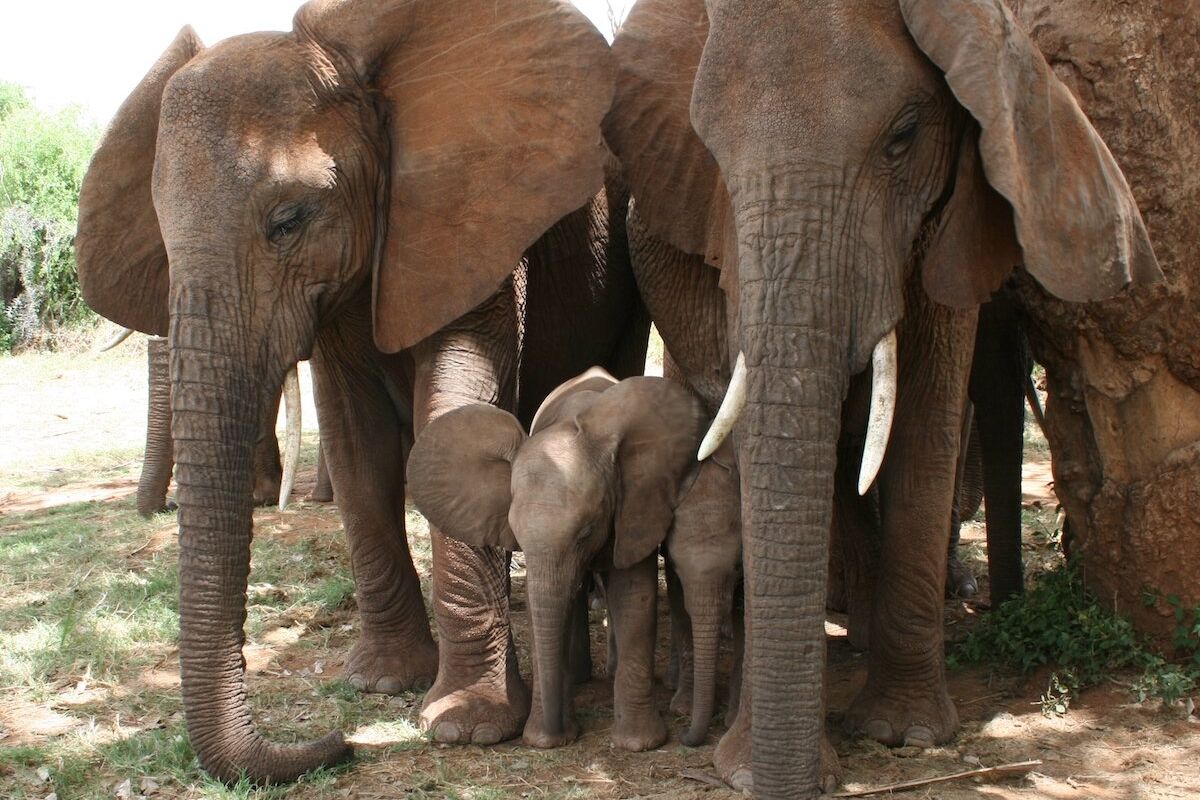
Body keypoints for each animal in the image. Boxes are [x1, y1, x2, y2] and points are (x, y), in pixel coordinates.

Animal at [71, 0, 652, 786]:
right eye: (160, 235)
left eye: (288, 221)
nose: (337, 742)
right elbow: (358, 449)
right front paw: (381, 682)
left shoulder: (469, 230)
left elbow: (452, 412)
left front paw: (466, 727)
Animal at [408, 367, 734, 753]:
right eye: (515, 536)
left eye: (586, 531)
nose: (552, 737)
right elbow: (544, 608)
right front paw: (546, 737)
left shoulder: (635, 505)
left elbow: (634, 598)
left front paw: (638, 744)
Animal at [604, 1, 1156, 800]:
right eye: (708, 151)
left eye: (905, 137)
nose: (784, 779)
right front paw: (750, 765)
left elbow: (926, 417)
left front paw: (907, 733)